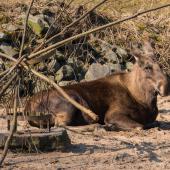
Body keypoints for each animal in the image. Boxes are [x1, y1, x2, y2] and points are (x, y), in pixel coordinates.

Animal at [24, 42, 169, 130]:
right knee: (61, 125)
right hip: (70, 101)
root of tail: (27, 107)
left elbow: (154, 122)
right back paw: (98, 127)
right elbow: (140, 126)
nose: (165, 87)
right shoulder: (112, 114)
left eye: (160, 65)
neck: (144, 100)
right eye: (147, 67)